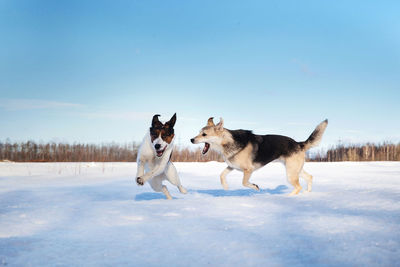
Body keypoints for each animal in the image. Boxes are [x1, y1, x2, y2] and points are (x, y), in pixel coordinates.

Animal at [191, 118, 328, 196]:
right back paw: (307, 193)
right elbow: (221, 175)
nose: (191, 139)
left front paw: (255, 187)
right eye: (198, 132)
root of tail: (299, 143)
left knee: (298, 186)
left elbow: (244, 182)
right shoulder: (232, 166)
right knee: (309, 177)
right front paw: (225, 186)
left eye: (204, 134)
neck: (228, 142)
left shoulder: (248, 170)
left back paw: (287, 197)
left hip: (291, 173)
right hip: (295, 170)